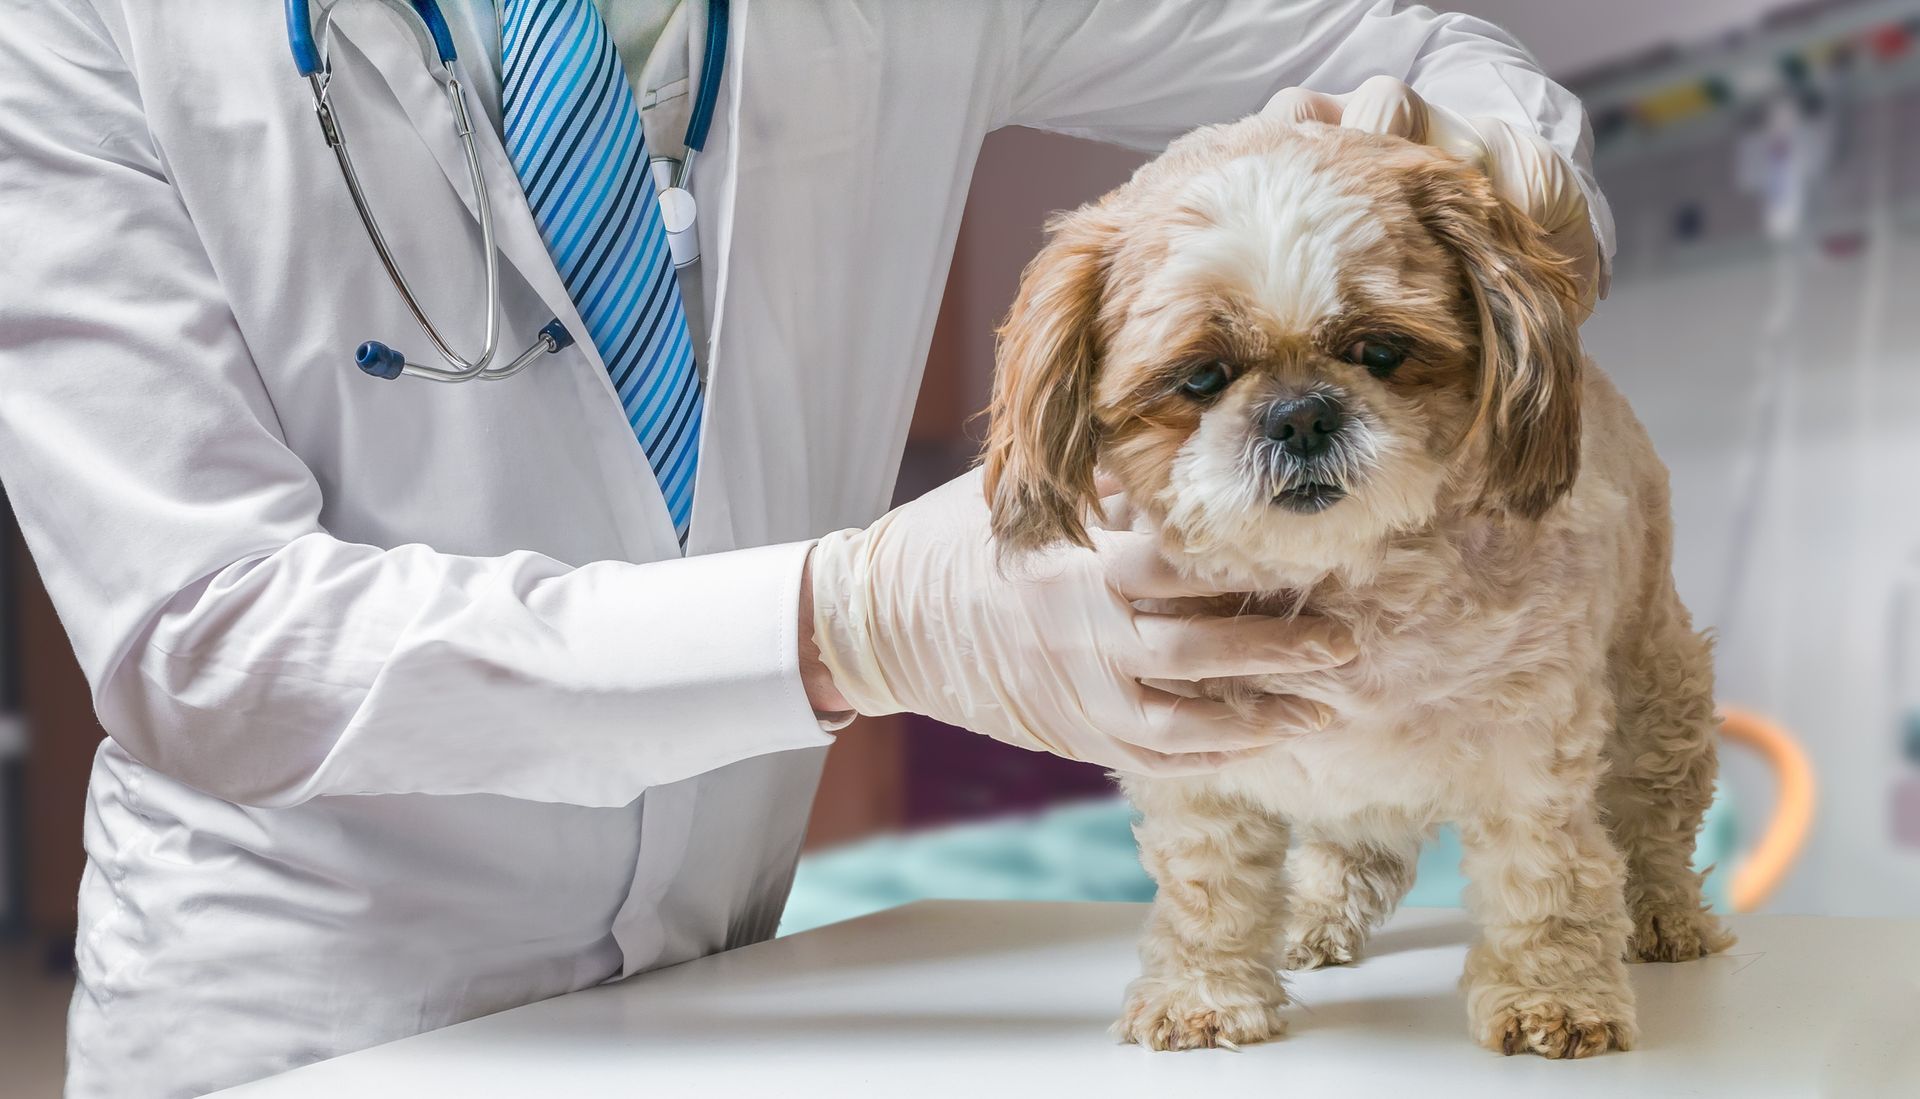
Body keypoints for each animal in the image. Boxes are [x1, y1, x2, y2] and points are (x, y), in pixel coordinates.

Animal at [983, 118, 1735, 1052]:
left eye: (1380, 351)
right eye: (1201, 377)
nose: (1301, 413)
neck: (1342, 580)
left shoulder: (1531, 747)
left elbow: (1546, 876)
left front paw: (1553, 997)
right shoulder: (1194, 759)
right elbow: (1207, 885)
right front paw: (1203, 993)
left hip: (1659, 692)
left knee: (1654, 819)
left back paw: (1666, 915)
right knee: (1354, 847)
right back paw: (1315, 916)